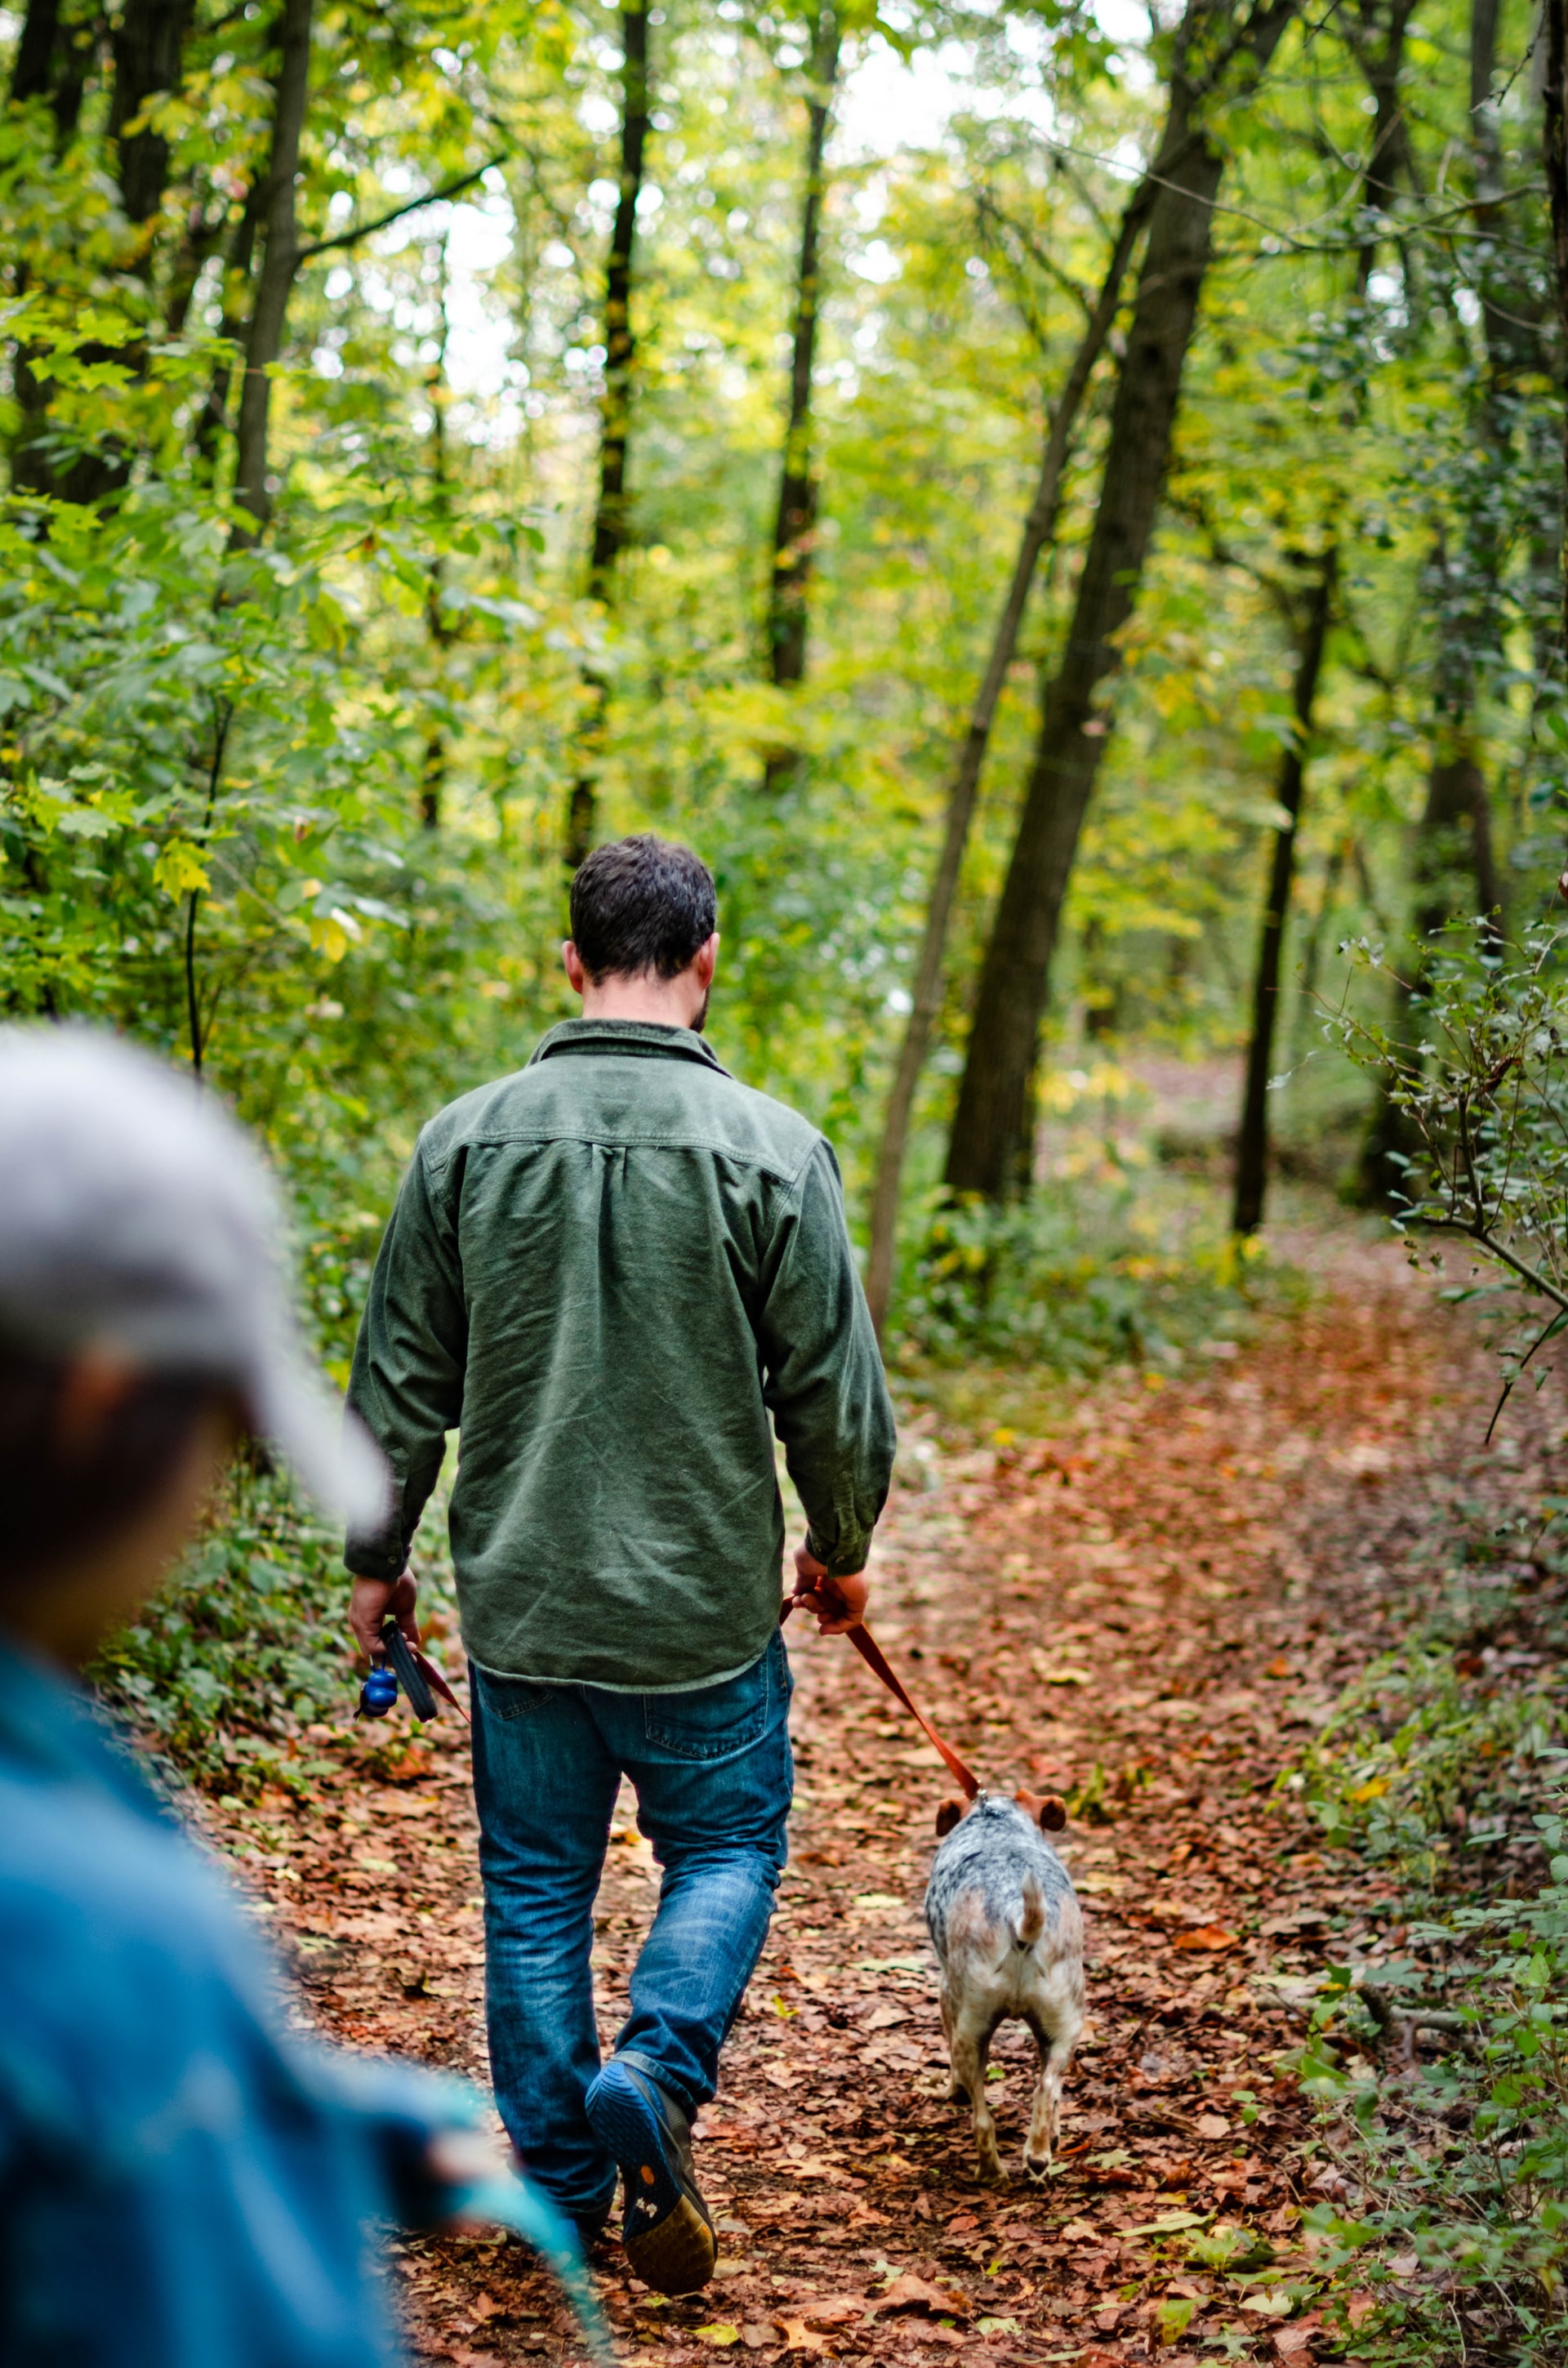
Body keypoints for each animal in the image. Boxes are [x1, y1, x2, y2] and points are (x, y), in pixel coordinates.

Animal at [928, 1790, 1089, 2178]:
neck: (995, 1819)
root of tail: (1018, 1916)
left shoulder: (944, 1992)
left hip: (969, 2031)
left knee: (982, 2119)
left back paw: (990, 2171)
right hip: (1066, 2027)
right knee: (1046, 2088)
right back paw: (1038, 2155)